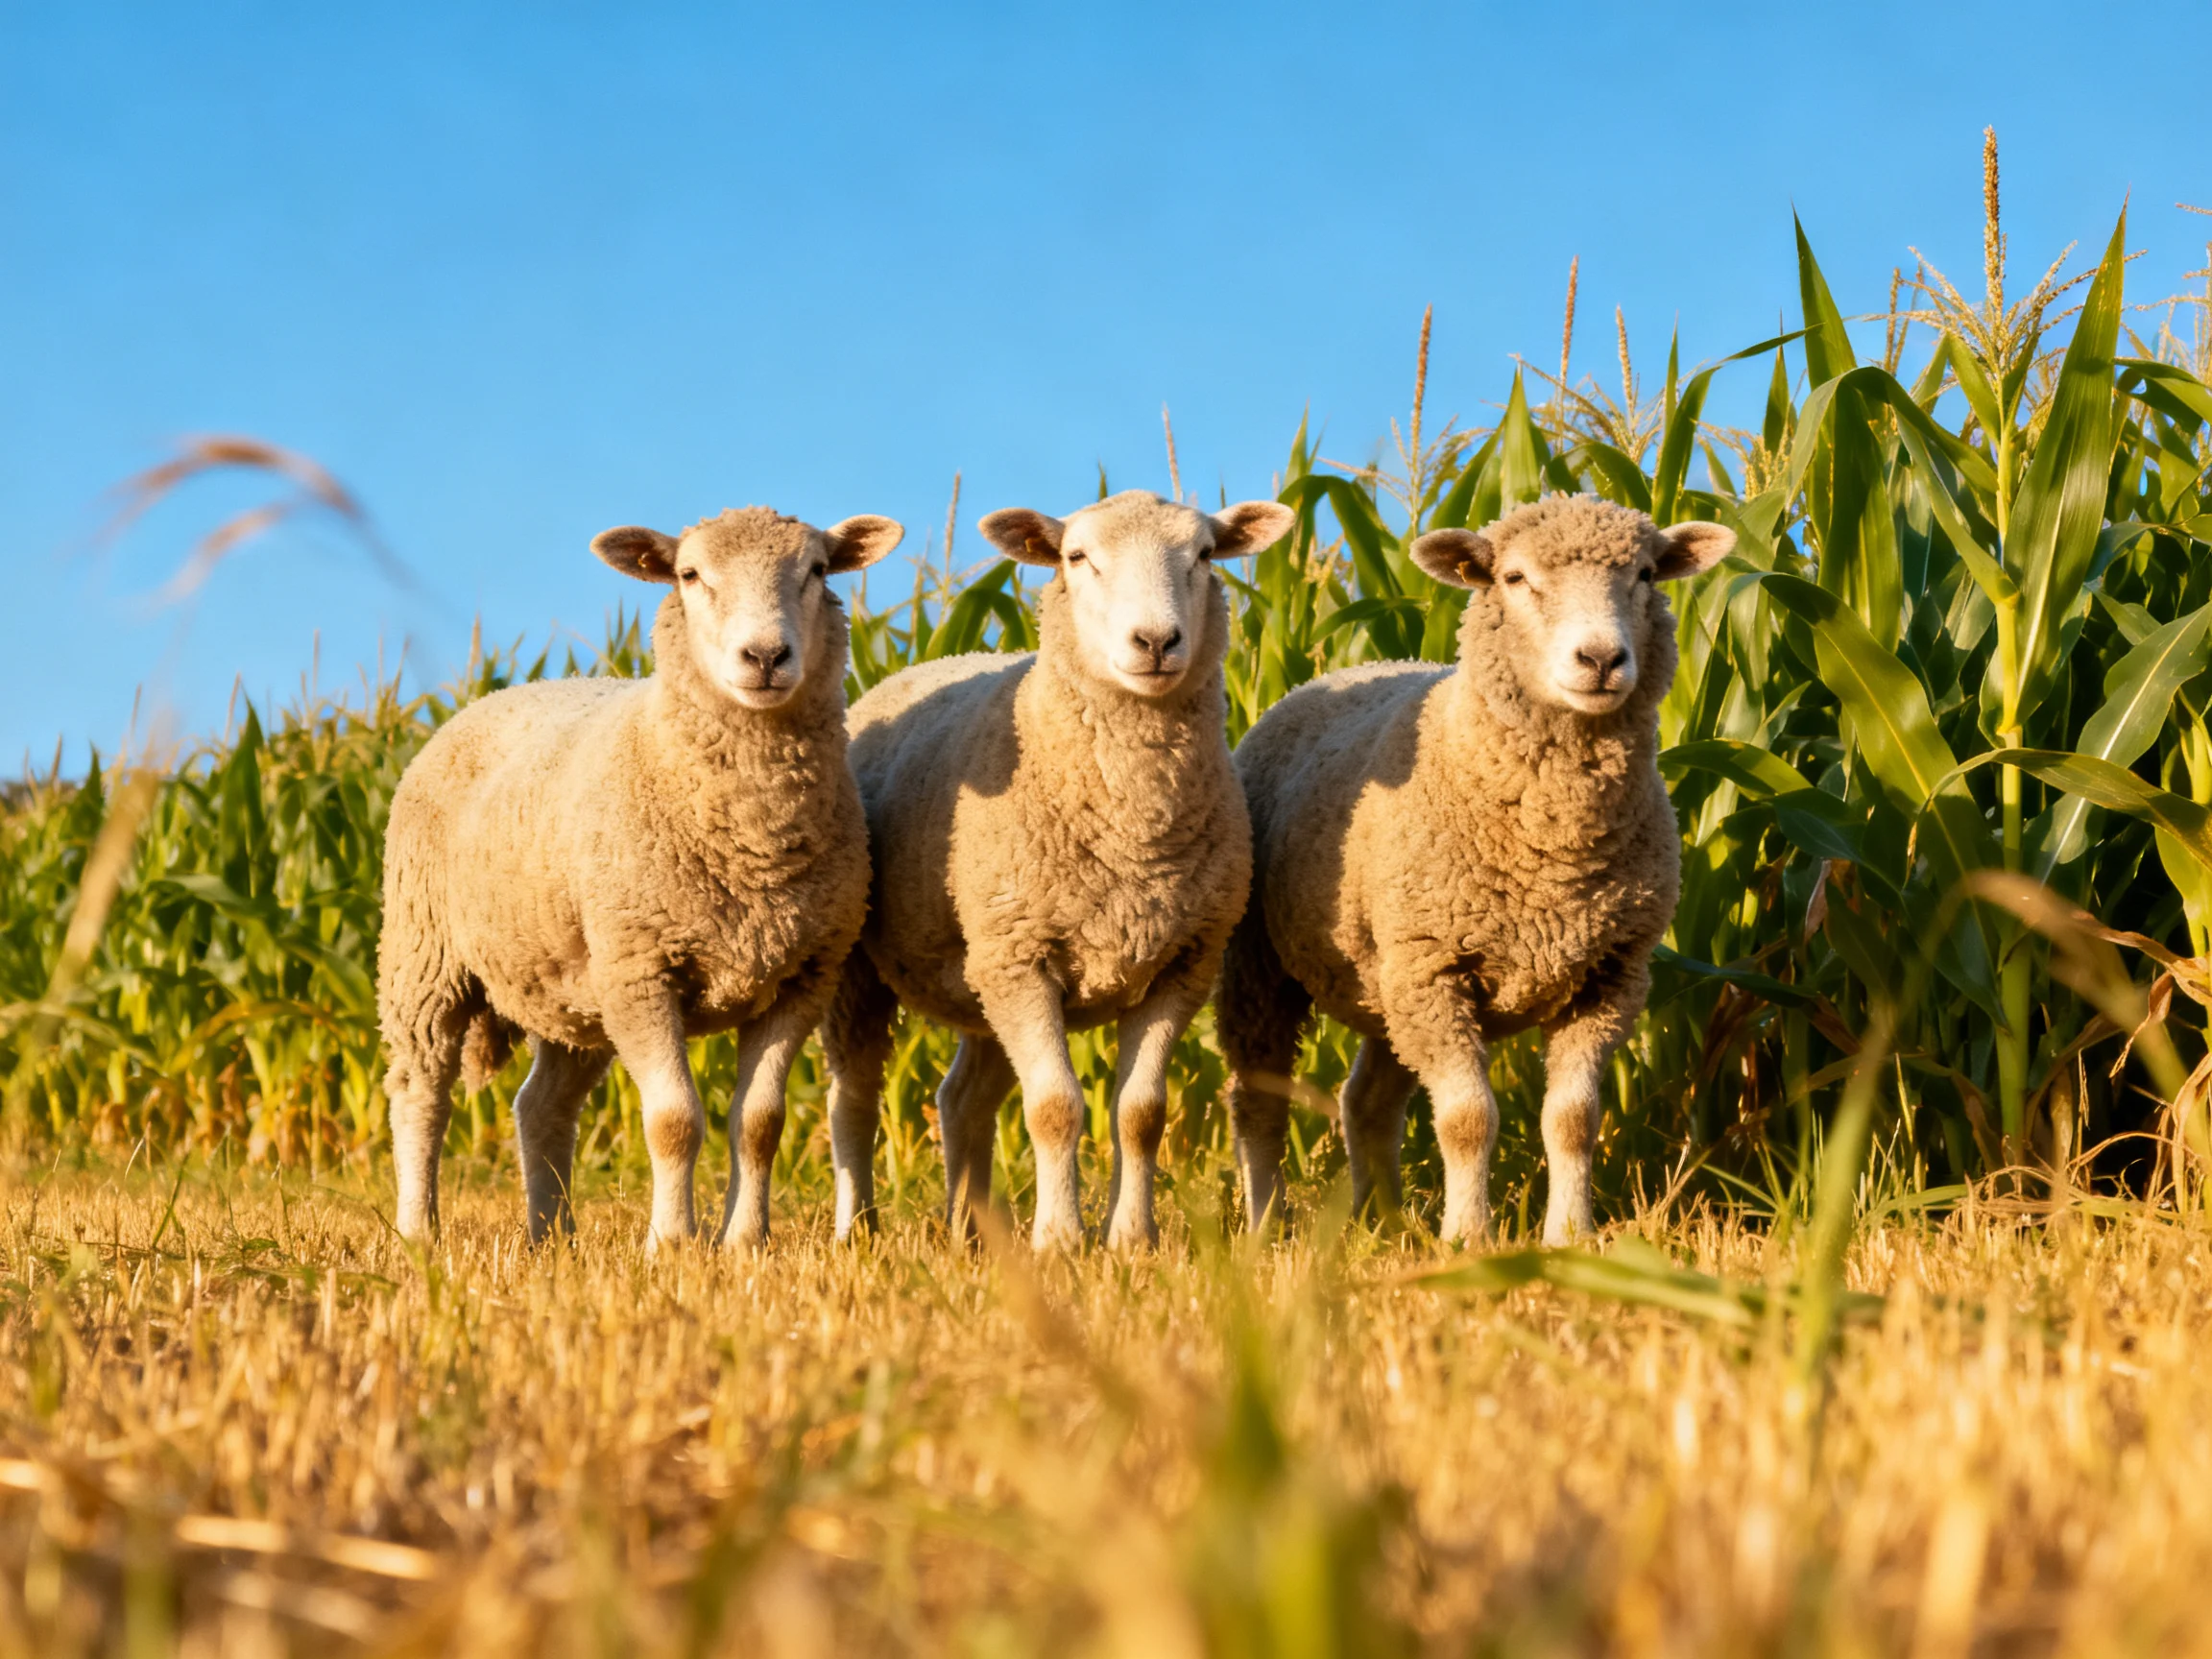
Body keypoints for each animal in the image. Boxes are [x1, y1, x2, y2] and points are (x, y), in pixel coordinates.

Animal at [377, 505, 903, 1249]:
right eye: (689, 574)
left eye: (819, 569)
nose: (765, 658)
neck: (753, 837)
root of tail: (500, 694)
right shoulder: (642, 970)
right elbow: (674, 1120)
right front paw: (673, 1242)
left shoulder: (799, 978)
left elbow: (760, 1123)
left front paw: (745, 1243)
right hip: (425, 955)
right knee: (421, 1091)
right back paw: (419, 1229)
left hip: (574, 986)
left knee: (540, 1105)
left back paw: (552, 1234)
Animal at [820, 489, 1296, 1251]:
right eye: (1077, 557)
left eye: (1203, 555)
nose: (1156, 642)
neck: (1135, 832)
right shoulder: (1024, 958)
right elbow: (1055, 1107)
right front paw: (1060, 1239)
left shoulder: (1180, 964)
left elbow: (1141, 1111)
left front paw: (1132, 1239)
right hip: (878, 967)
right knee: (855, 1097)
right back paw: (856, 1228)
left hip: (982, 970)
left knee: (961, 1098)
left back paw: (969, 1231)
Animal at [1218, 494, 1734, 1245]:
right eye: (1515, 578)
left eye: (1643, 574)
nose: (1601, 658)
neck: (1555, 846)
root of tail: (1328, 676)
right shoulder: (1436, 969)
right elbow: (1467, 1120)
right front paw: (1467, 1238)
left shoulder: (1609, 977)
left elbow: (1574, 1120)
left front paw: (1570, 1236)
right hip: (1267, 966)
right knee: (1258, 1099)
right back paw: (1265, 1229)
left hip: (1390, 986)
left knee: (1365, 1100)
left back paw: (1385, 1225)